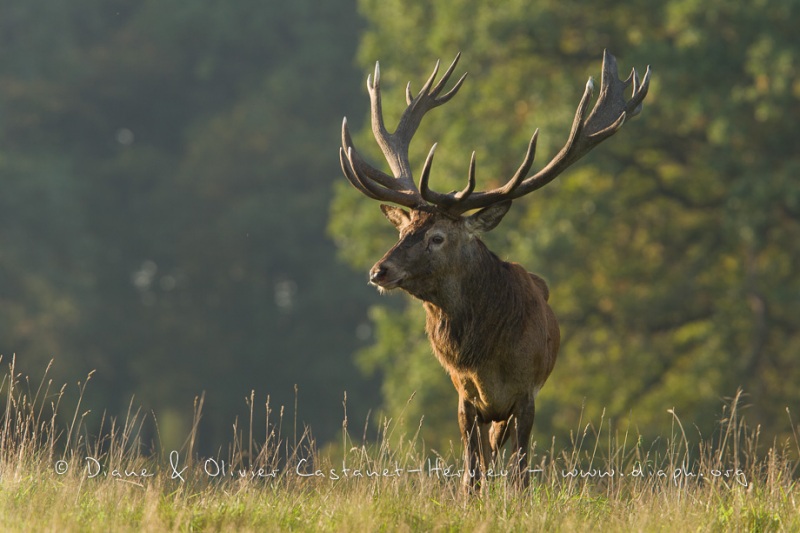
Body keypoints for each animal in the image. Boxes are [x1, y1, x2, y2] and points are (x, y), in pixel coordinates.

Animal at [340, 51, 648, 490]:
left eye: (437, 237)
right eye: (403, 229)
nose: (379, 270)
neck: (484, 360)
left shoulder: (526, 394)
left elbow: (520, 474)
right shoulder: (464, 397)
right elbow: (471, 473)